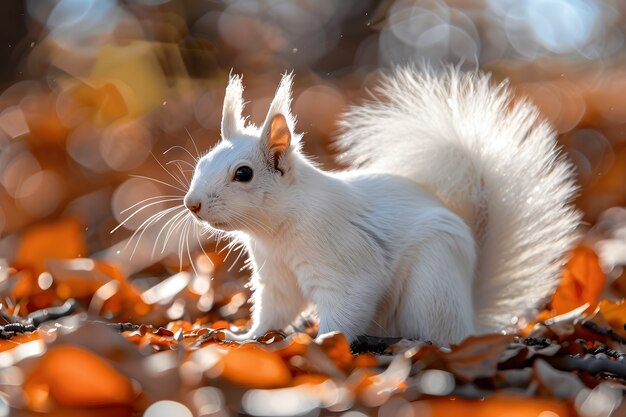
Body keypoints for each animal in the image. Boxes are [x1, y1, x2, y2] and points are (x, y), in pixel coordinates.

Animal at [183, 66, 576, 344]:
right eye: (202, 162)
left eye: (243, 174)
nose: (192, 204)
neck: (277, 230)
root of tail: (469, 318)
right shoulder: (277, 274)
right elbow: (275, 311)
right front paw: (244, 337)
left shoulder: (345, 259)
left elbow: (348, 304)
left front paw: (322, 344)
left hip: (432, 281)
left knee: (439, 334)